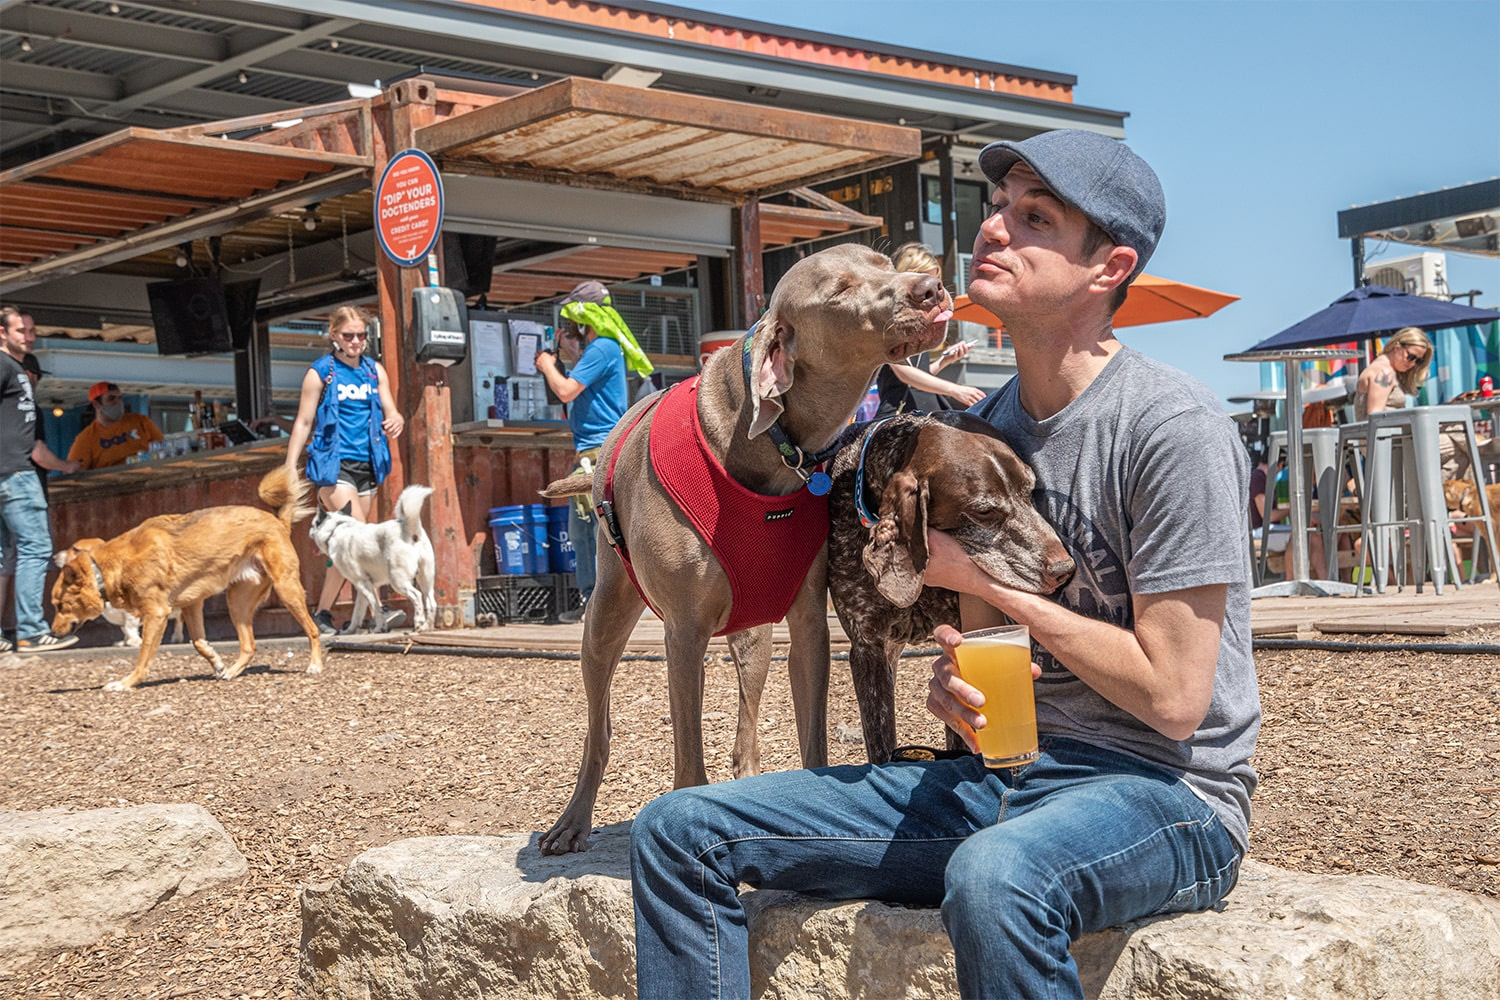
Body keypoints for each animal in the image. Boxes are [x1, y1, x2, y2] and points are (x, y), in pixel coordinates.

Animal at [50, 467, 325, 689]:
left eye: (60, 606)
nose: (52, 633)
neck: (107, 570)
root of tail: (279, 522)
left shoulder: (156, 614)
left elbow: (143, 656)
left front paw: (126, 683)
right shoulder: (192, 603)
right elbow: (198, 642)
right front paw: (217, 663)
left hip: (286, 589)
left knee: (312, 630)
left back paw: (315, 665)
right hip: (237, 601)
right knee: (249, 645)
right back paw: (232, 672)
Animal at [307, 485, 438, 632]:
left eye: (313, 524)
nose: (309, 531)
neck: (337, 528)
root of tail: (409, 527)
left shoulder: (363, 583)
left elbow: (376, 607)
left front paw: (379, 627)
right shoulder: (362, 586)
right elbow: (357, 612)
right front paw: (350, 630)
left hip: (397, 580)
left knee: (417, 596)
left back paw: (419, 622)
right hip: (425, 577)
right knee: (431, 602)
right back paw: (427, 626)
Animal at [540, 244, 948, 851]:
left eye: (884, 262)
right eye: (839, 291)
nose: (931, 287)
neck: (774, 452)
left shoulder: (809, 625)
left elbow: (813, 740)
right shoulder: (683, 631)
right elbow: (688, 757)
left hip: (753, 634)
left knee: (746, 725)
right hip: (606, 614)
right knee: (599, 727)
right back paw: (572, 821)